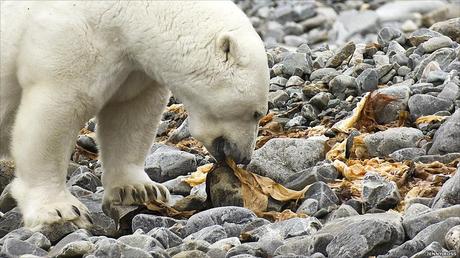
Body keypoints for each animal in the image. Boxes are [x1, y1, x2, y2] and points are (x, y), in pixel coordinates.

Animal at [0, 0, 268, 230]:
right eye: (256, 113)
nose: (243, 156)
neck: (126, 14)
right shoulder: (70, 39)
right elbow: (55, 112)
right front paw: (59, 210)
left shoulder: (133, 66)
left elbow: (131, 115)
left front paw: (139, 190)